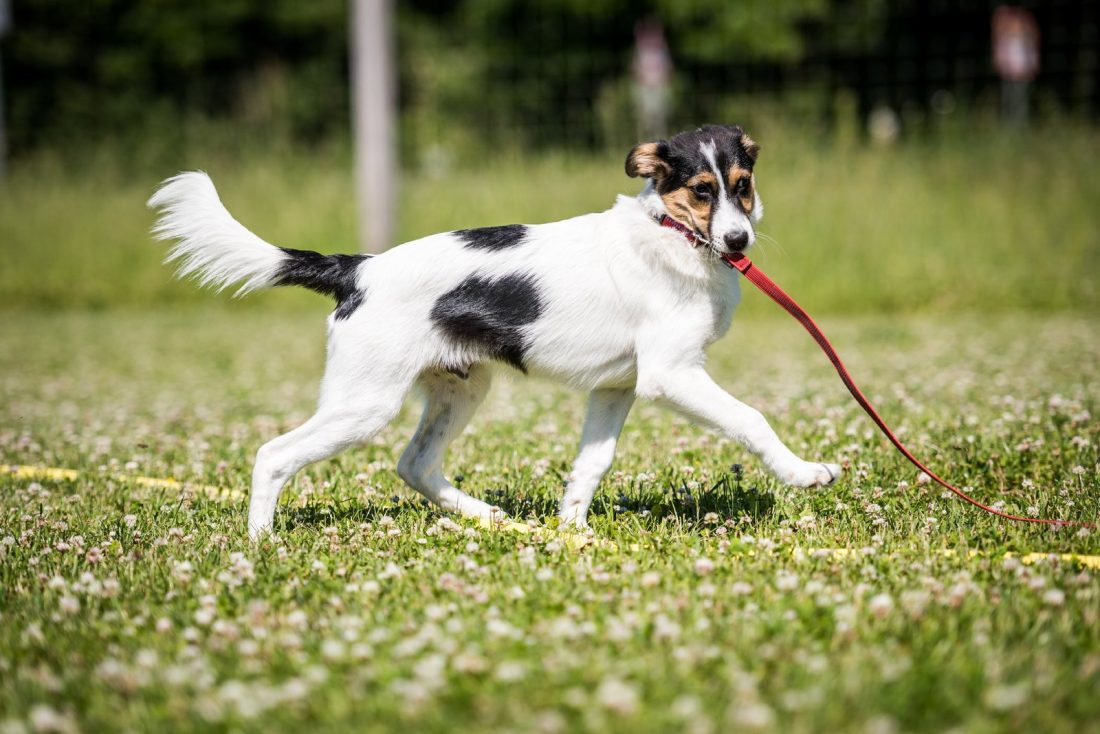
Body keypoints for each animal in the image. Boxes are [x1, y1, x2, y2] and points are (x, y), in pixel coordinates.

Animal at [148, 124, 840, 539]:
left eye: (742, 187)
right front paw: (804, 473)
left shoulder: (617, 388)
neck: (671, 236)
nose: (738, 241)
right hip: (364, 402)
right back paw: (260, 543)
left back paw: (490, 518)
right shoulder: (671, 377)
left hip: (460, 388)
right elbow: (751, 420)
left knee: (414, 463)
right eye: (700, 191)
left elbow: (591, 464)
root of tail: (359, 269)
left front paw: (572, 535)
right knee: (274, 454)